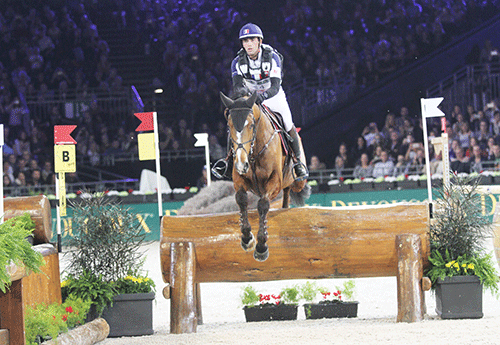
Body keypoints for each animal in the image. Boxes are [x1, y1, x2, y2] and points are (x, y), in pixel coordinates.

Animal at [221, 91, 310, 260]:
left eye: (251, 125)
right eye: (229, 126)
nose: (241, 164)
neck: (254, 151)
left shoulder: (274, 181)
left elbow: (263, 205)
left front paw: (261, 247)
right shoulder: (239, 179)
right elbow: (241, 199)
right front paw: (247, 238)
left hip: (297, 182)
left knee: (292, 188)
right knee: (286, 195)